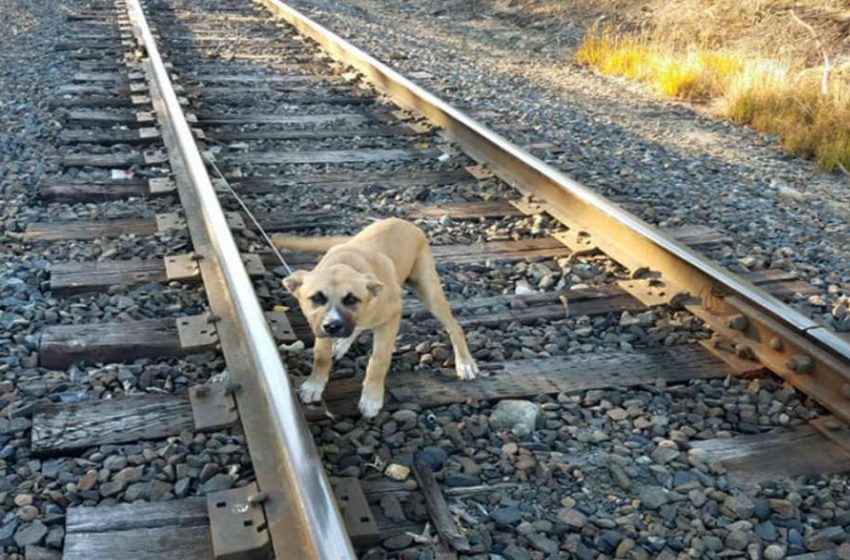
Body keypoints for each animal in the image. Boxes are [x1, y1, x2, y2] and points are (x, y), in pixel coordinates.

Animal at [276, 218, 476, 416]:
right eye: (316, 298)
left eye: (351, 299)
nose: (333, 326)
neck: (346, 264)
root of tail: (404, 222)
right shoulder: (320, 327)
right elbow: (321, 355)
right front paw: (314, 384)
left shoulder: (392, 315)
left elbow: (379, 359)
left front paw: (372, 398)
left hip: (429, 291)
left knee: (454, 326)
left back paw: (465, 363)